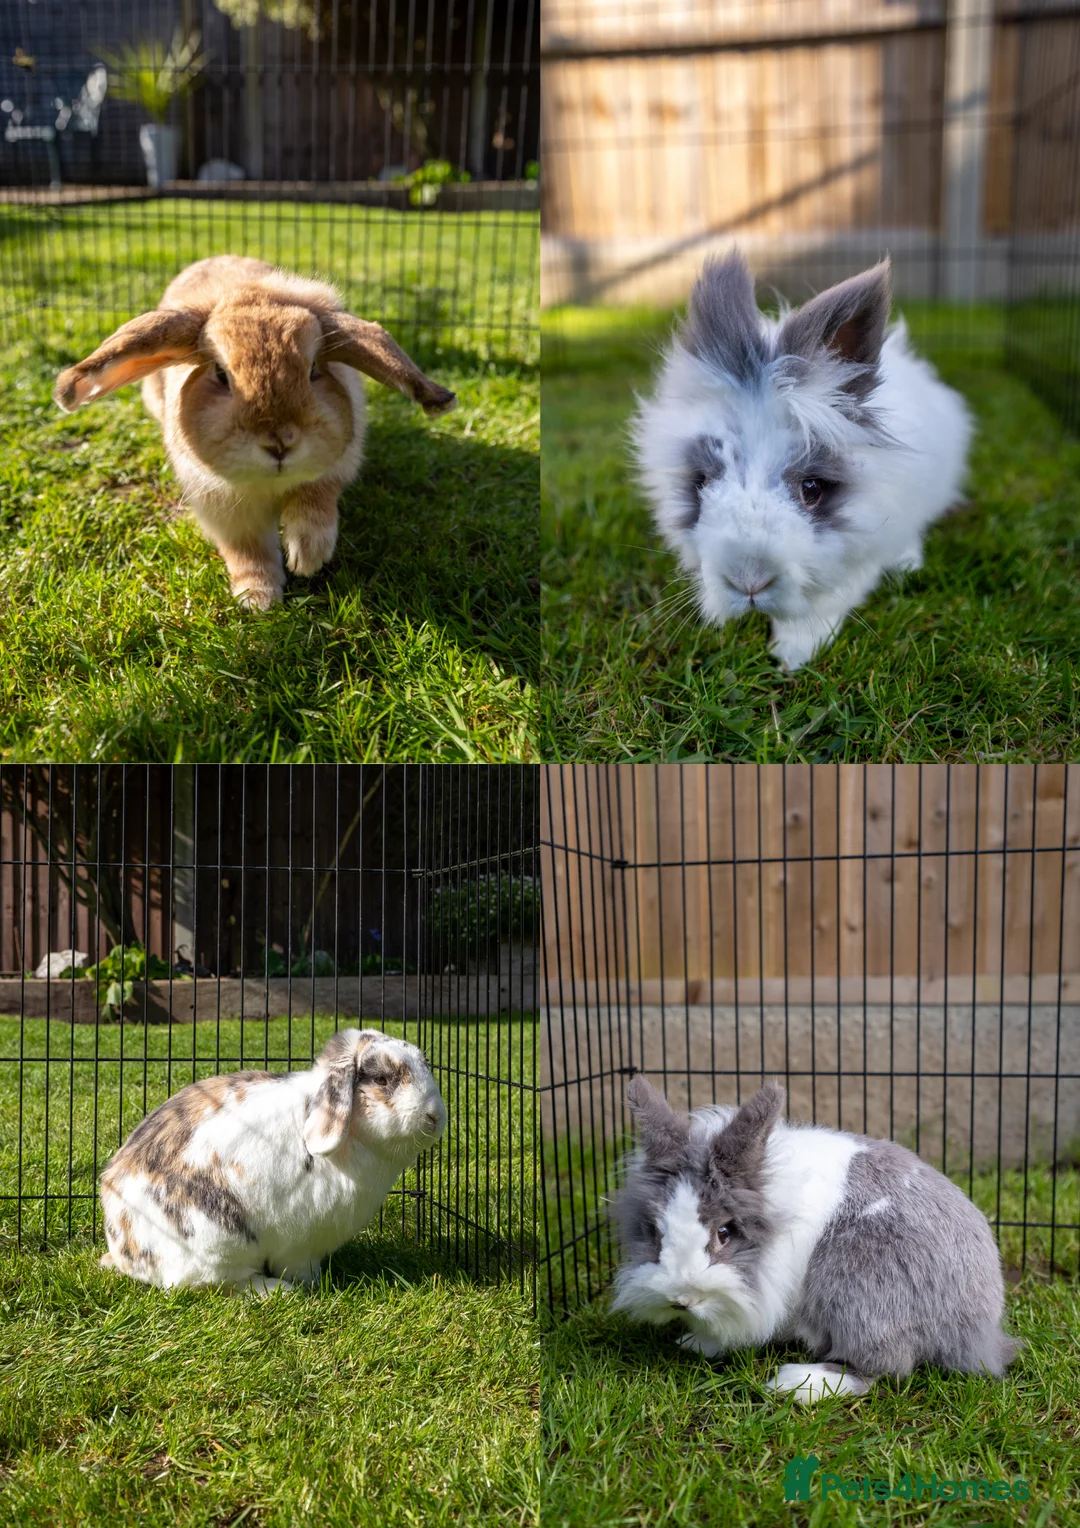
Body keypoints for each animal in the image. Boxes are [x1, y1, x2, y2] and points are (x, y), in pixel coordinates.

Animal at [53, 256, 456, 609]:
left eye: (313, 369)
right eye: (220, 373)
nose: (279, 444)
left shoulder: (332, 470)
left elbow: (316, 504)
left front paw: (307, 556)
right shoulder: (227, 513)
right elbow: (248, 552)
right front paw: (258, 599)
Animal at [98, 1027, 446, 1292]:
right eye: (382, 1080)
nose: (435, 1117)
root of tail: (122, 1250)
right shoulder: (300, 1244)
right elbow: (299, 1266)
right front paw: (313, 1286)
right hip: (217, 1244)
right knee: (219, 1284)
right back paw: (278, 1291)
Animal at [611, 1077, 1017, 1403]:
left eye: (724, 1233)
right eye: (655, 1231)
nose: (681, 1299)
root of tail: (979, 1329)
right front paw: (695, 1343)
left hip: (859, 1290)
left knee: (884, 1367)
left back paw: (796, 1384)